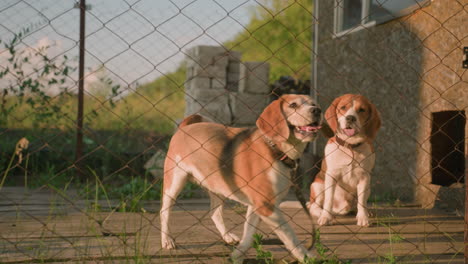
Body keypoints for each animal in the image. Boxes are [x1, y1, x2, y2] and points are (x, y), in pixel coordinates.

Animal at [161, 94, 322, 262]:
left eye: (314, 104)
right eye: (293, 105)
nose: (317, 110)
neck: (275, 150)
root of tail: (185, 127)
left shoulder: (256, 206)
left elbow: (248, 236)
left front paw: (237, 256)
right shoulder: (266, 206)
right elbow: (290, 236)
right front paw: (306, 256)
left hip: (218, 186)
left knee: (215, 213)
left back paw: (227, 236)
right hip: (174, 184)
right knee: (164, 211)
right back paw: (167, 240)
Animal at [308, 94, 382, 227]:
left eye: (362, 110)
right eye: (343, 107)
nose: (350, 118)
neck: (350, 147)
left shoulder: (364, 177)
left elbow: (361, 201)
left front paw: (363, 217)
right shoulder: (331, 175)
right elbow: (328, 199)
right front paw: (325, 217)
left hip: (368, 187)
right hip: (317, 185)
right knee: (314, 206)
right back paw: (322, 213)